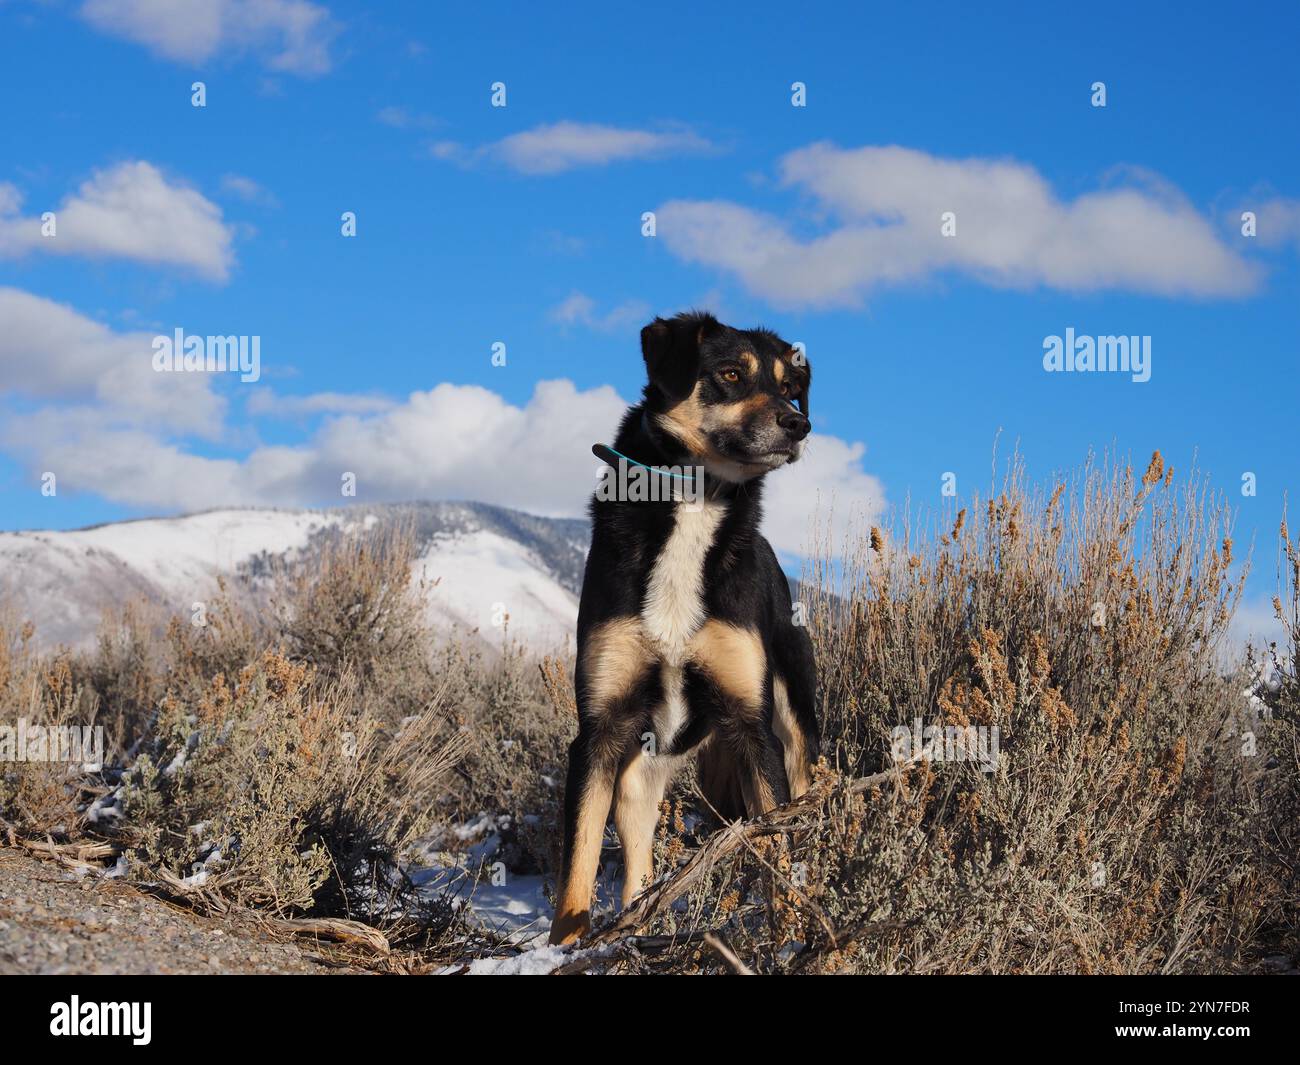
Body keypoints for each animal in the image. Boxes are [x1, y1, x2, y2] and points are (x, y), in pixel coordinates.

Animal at [551, 312, 821, 946]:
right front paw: (562, 947)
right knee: (639, 863)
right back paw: (632, 925)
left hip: (797, 734)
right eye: (731, 374)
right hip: (640, 772)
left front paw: (791, 937)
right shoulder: (600, 730)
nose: (799, 424)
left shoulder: (753, 731)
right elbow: (577, 864)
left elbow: (776, 849)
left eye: (788, 386)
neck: (695, 501)